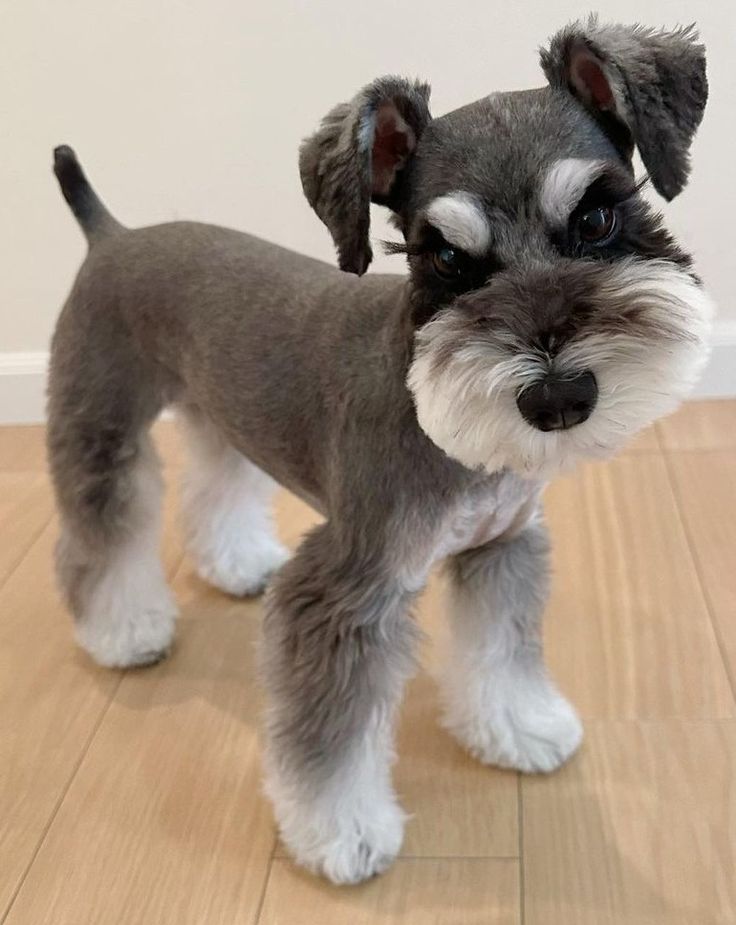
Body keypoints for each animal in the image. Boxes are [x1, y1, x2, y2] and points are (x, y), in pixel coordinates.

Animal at [47, 16, 712, 880]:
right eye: (446, 258)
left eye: (597, 220)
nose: (558, 397)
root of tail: (109, 235)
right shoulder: (349, 588)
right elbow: (331, 734)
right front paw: (342, 831)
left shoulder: (502, 547)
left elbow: (501, 648)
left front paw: (519, 725)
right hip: (101, 424)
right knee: (100, 530)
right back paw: (123, 630)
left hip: (219, 411)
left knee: (217, 482)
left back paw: (237, 563)